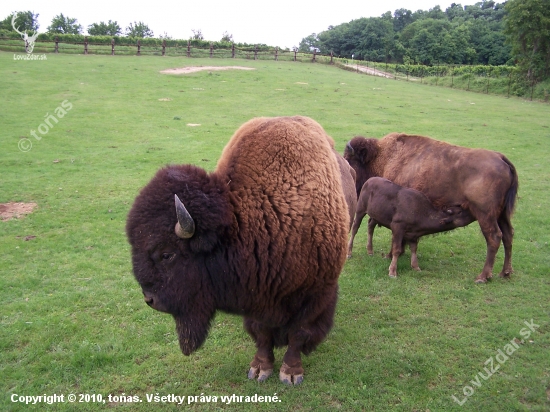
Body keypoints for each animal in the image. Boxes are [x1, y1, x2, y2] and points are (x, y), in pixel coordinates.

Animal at [126, 115, 350, 384]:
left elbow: (299, 333)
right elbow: (262, 333)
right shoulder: (257, 296)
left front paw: (290, 373)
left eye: (167, 254)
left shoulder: (316, 294)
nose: (149, 299)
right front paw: (260, 369)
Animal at [348, 133, 520, 284]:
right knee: (508, 235)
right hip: (502, 214)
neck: (385, 156)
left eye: (351, 159)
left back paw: (483, 277)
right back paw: (505, 273)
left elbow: (396, 238)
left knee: (494, 238)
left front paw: (390, 256)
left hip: (485, 215)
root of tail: (502, 159)